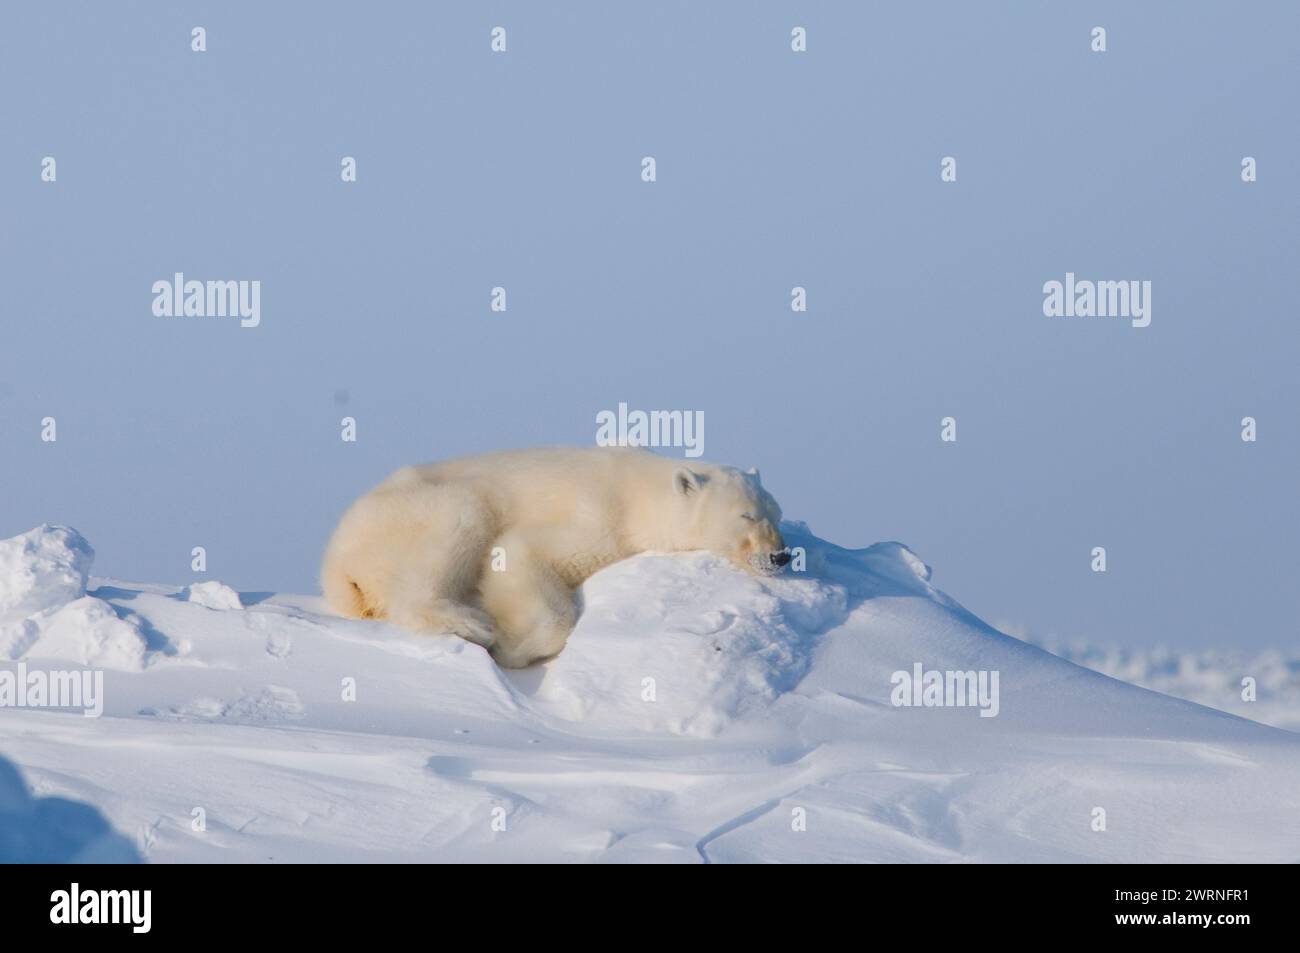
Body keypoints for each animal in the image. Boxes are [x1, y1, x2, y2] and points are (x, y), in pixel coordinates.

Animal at [322, 447, 790, 665]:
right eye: (746, 515)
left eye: (777, 512)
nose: (781, 556)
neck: (639, 495)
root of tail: (335, 564)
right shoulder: (600, 517)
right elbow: (517, 552)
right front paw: (509, 646)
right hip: (409, 513)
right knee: (459, 518)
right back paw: (468, 622)